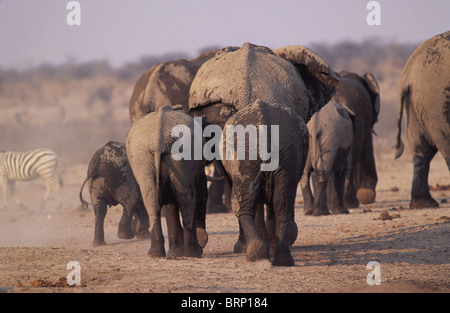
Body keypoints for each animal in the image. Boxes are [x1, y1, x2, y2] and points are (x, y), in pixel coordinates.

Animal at [125, 106, 223, 258]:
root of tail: (158, 141)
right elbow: (201, 194)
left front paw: (175, 253)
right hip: (181, 154)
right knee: (187, 199)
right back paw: (193, 253)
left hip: (146, 158)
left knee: (151, 200)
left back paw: (156, 253)